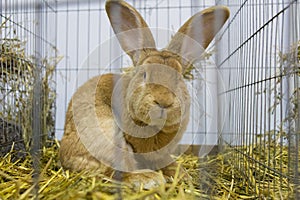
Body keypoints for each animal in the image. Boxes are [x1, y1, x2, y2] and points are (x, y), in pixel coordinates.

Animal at [59, 0, 230, 188]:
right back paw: (149, 178)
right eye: (144, 74)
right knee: (115, 172)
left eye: (179, 77)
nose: (163, 101)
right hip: (108, 137)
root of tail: (64, 153)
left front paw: (182, 175)